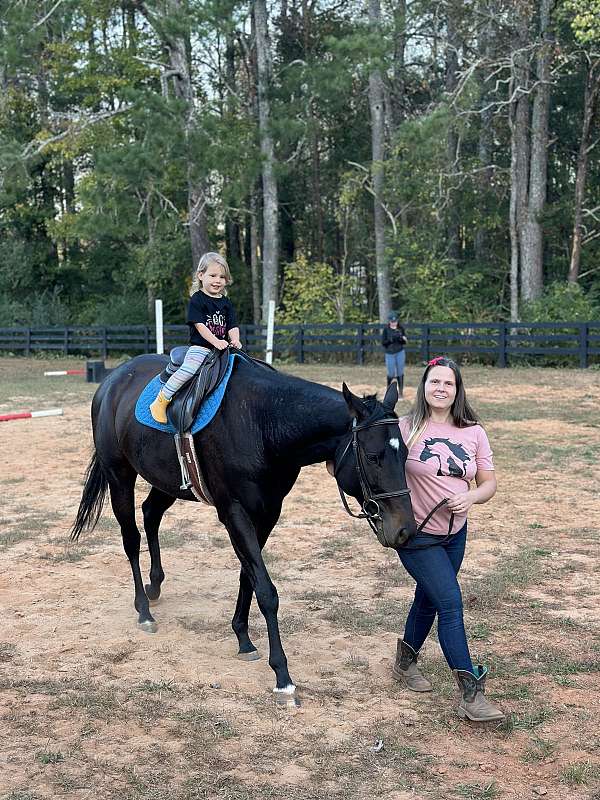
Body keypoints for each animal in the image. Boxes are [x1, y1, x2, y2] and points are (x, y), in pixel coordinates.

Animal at [71, 356, 418, 700]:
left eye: (405, 454)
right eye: (373, 457)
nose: (405, 529)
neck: (264, 424)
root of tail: (113, 378)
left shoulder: (267, 513)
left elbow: (247, 577)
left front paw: (243, 638)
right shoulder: (234, 512)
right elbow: (265, 589)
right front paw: (282, 676)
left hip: (166, 480)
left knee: (150, 514)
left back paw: (154, 586)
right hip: (119, 476)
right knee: (131, 538)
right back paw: (144, 610)